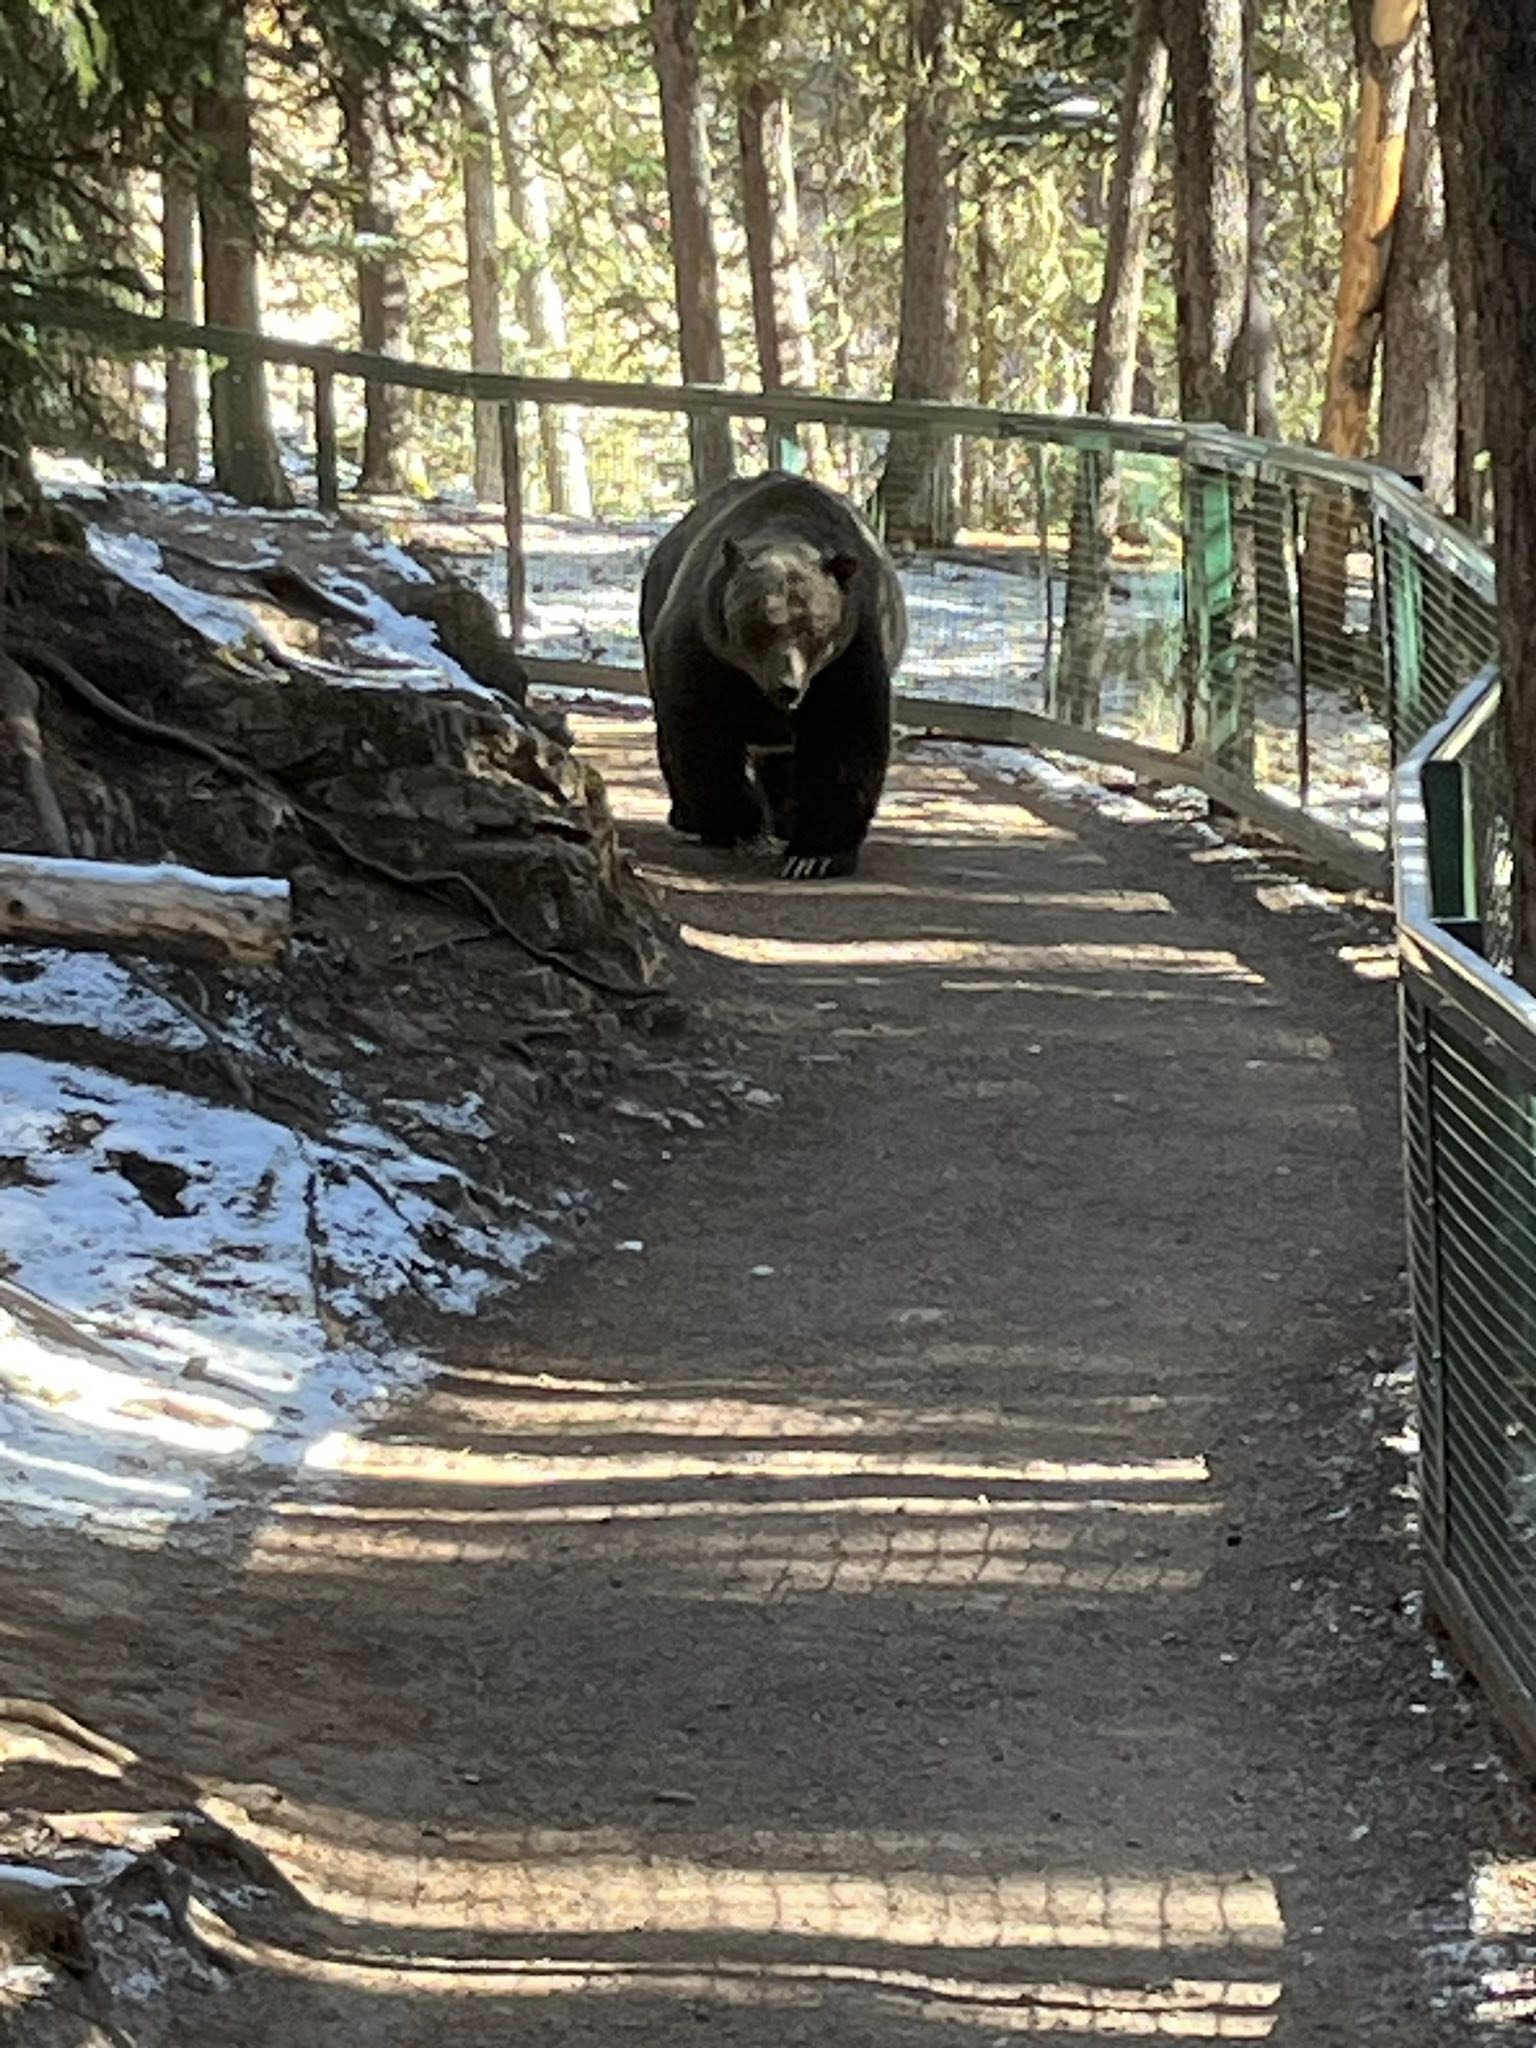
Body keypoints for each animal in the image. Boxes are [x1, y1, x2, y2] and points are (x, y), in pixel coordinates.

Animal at [639, 471, 907, 879]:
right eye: (760, 624)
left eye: (813, 628)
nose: (787, 687)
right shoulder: (703, 647)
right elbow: (700, 730)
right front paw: (739, 823)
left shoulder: (846, 655)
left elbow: (846, 737)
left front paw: (814, 856)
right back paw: (687, 815)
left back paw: (786, 817)